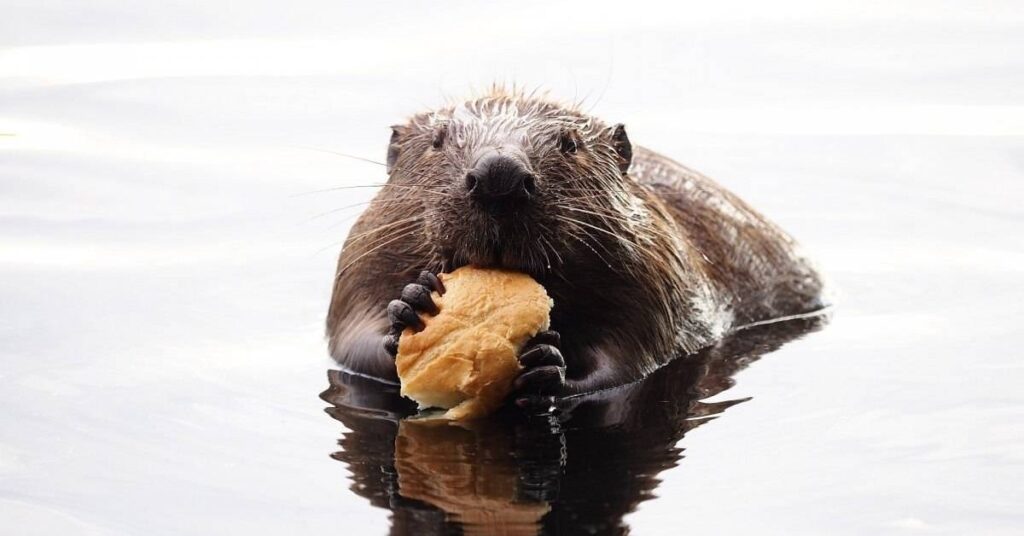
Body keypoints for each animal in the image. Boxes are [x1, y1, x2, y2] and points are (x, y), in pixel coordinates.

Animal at [327, 86, 823, 401]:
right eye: (437, 140)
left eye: (570, 143)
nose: (499, 176)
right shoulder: (364, 254)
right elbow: (351, 345)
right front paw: (411, 306)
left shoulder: (657, 271)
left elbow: (631, 361)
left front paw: (548, 365)